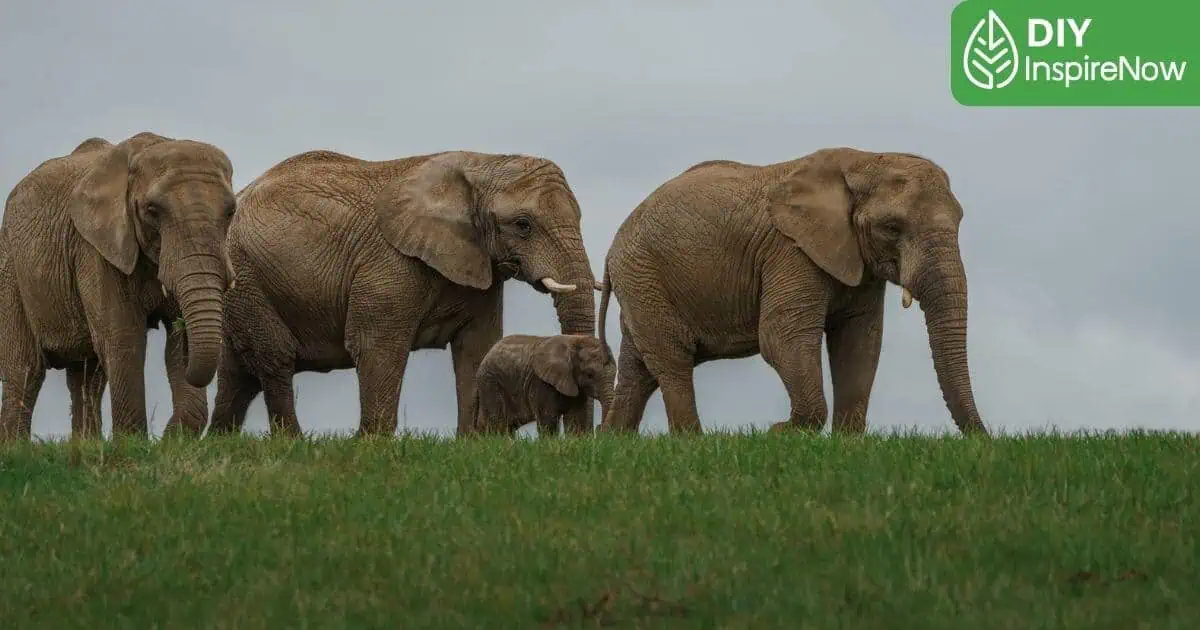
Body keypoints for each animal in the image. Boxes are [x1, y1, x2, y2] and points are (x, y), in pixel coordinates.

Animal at [0, 130, 236, 439]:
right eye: (152, 210)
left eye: (231, 212)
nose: (163, 437)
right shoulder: (95, 248)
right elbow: (124, 338)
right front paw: (132, 445)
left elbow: (174, 342)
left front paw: (168, 440)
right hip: (11, 268)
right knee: (25, 369)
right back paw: (16, 446)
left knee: (87, 376)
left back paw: (86, 446)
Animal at [472, 333, 614, 436]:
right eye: (590, 375)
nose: (599, 427)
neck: (574, 340)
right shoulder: (541, 383)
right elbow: (548, 419)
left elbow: (576, 419)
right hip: (490, 382)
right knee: (496, 422)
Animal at [595, 145, 988, 434]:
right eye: (891, 228)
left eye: (960, 220)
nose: (982, 439)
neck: (862, 160)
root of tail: (613, 247)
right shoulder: (790, 251)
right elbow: (781, 336)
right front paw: (781, 433)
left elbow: (859, 342)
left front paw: (847, 444)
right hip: (645, 277)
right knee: (672, 360)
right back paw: (692, 443)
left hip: (642, 284)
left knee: (638, 370)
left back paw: (614, 440)